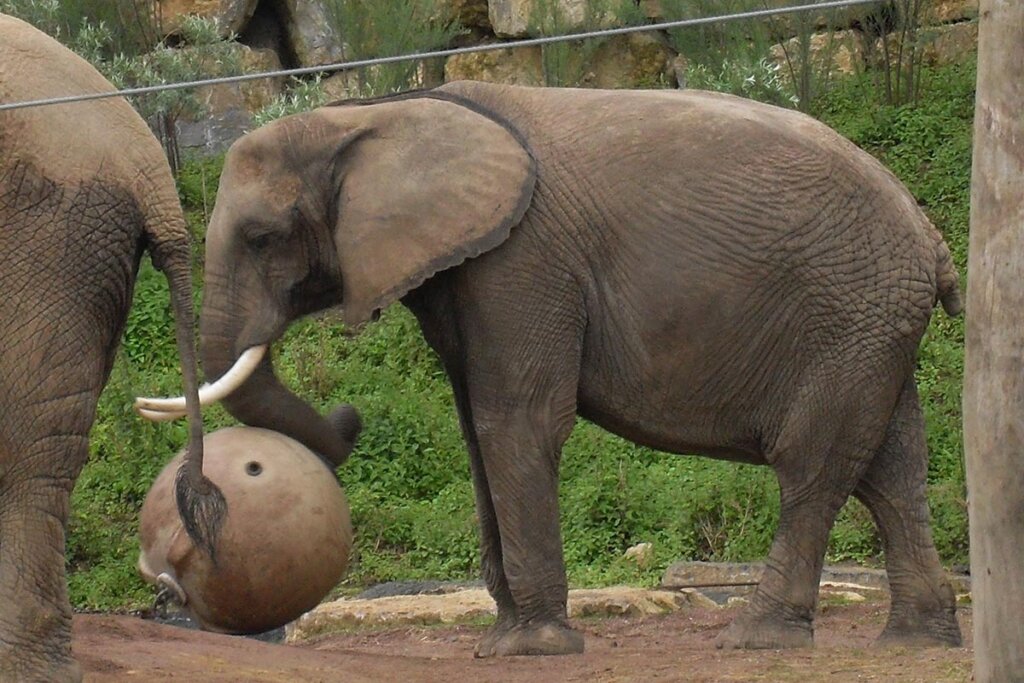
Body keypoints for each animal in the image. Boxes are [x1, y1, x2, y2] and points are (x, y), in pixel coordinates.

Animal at [149, 80, 965, 656]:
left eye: (263, 237)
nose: (348, 418)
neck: (376, 112)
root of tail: (931, 237)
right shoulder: (464, 274)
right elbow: (476, 431)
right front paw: (503, 642)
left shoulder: (522, 260)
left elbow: (517, 420)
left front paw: (533, 648)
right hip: (873, 327)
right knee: (892, 470)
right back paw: (916, 641)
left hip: (850, 314)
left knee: (813, 466)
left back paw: (756, 637)